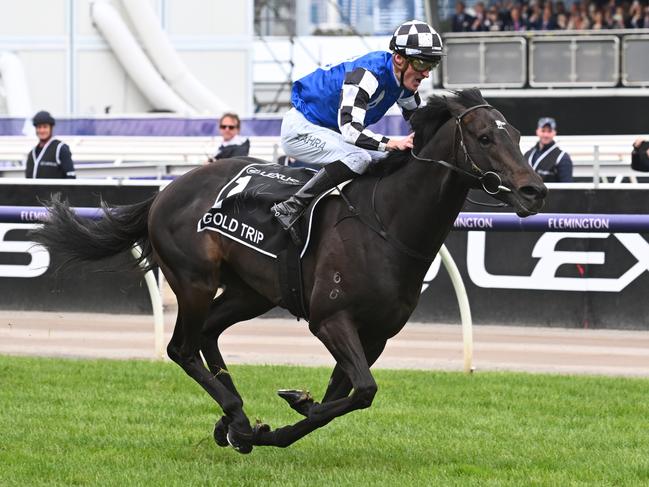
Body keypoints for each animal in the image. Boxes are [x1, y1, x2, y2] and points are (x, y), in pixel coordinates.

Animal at [31, 89, 548, 456]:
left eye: (517, 136)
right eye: (485, 138)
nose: (534, 191)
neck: (388, 222)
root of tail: (166, 190)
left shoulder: (376, 334)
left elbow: (341, 399)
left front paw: (281, 417)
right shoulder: (331, 319)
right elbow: (363, 391)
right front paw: (267, 422)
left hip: (250, 292)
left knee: (208, 336)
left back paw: (233, 420)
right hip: (194, 280)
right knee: (182, 347)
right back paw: (236, 416)